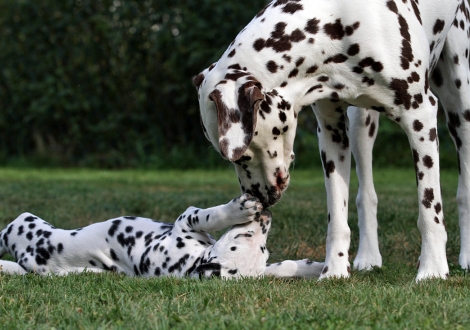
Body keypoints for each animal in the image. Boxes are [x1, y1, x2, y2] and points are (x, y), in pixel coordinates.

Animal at [0, 193, 324, 278]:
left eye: (263, 249)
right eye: (243, 238)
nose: (264, 216)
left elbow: (280, 269)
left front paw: (313, 268)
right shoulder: (186, 221)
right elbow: (212, 214)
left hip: (26, 222)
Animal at [194, 0, 466, 282]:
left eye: (243, 155)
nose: (258, 198)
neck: (338, 23)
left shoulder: (420, 116)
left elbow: (429, 207)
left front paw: (433, 269)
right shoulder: (331, 131)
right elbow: (336, 216)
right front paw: (334, 270)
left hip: (459, 101)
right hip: (360, 125)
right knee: (366, 194)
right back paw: (369, 256)